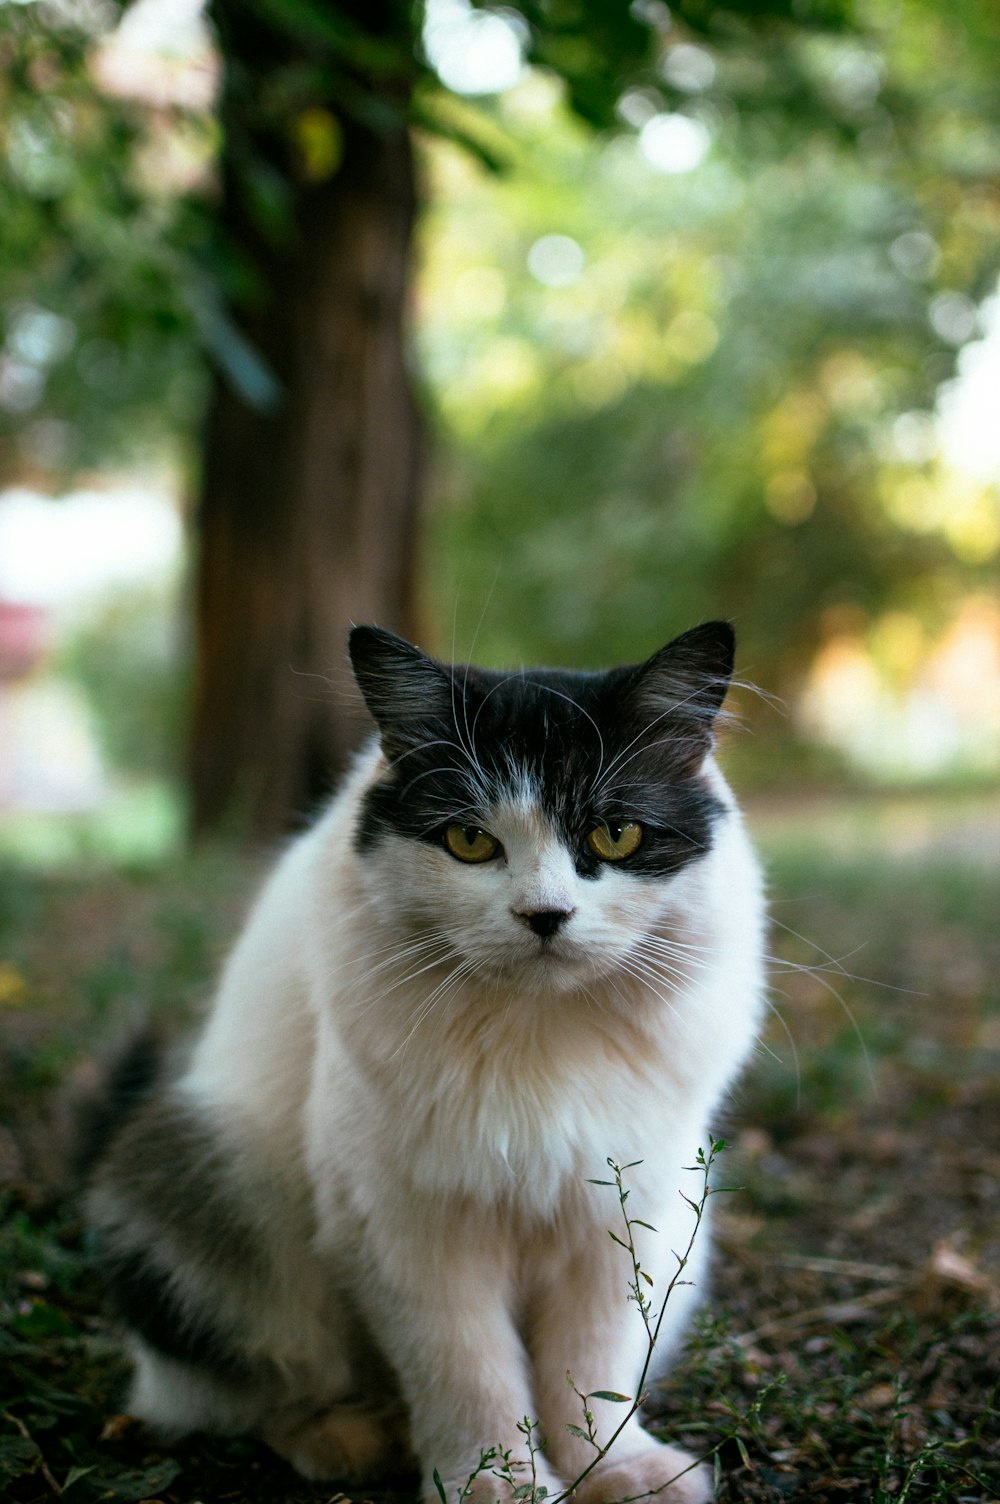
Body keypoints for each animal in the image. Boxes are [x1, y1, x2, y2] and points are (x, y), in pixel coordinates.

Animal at [89, 619, 766, 1504]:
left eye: (614, 835)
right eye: (470, 841)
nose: (545, 915)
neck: (536, 1037)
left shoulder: (620, 1214)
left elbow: (592, 1369)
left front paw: (613, 1469)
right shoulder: (408, 1228)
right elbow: (468, 1375)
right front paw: (499, 1485)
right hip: (212, 1169)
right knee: (259, 1392)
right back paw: (350, 1438)